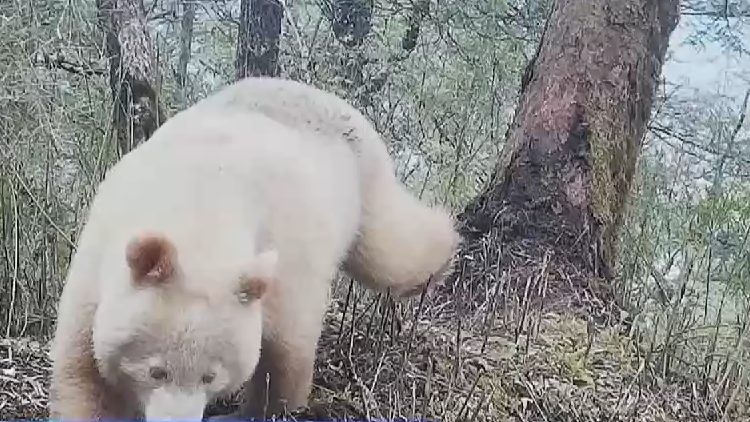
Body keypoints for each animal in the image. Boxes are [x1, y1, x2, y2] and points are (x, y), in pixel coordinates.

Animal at [49, 77, 460, 422]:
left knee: (391, 250)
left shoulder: (286, 251)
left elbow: (287, 347)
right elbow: (84, 371)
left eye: (210, 376)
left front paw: (263, 408)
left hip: (362, 185)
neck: (199, 200)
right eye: (156, 370)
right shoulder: (100, 257)